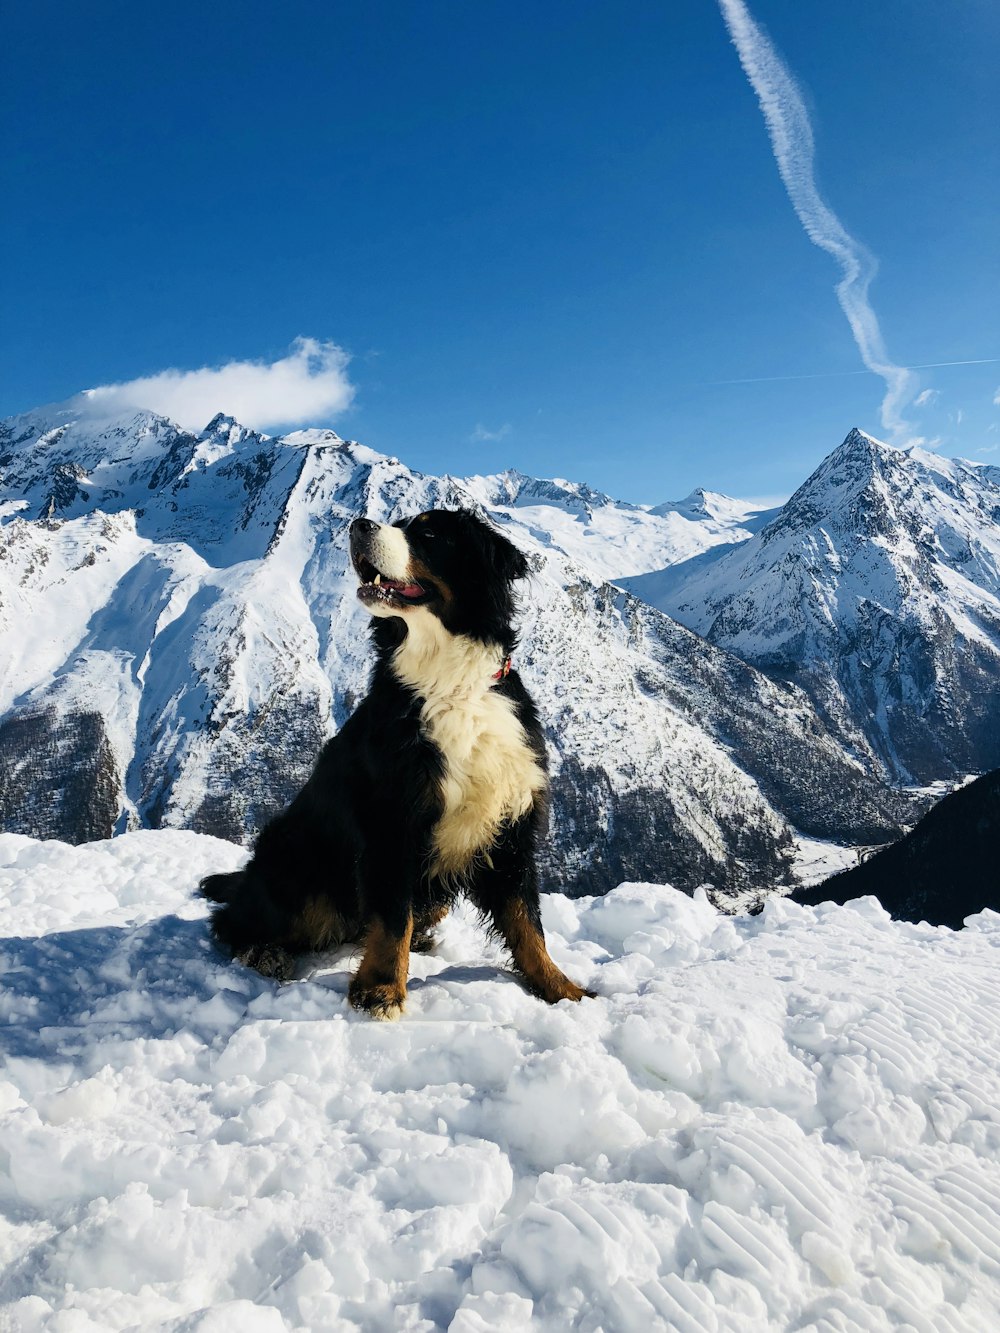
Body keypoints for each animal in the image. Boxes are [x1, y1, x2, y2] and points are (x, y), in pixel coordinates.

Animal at [201, 503, 594, 1013]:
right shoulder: (391, 820)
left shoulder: (510, 826)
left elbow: (528, 922)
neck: (450, 686)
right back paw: (263, 952)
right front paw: (382, 988)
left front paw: (561, 988)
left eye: (428, 533)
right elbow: (391, 918)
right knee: (237, 920)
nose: (358, 525)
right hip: (298, 866)